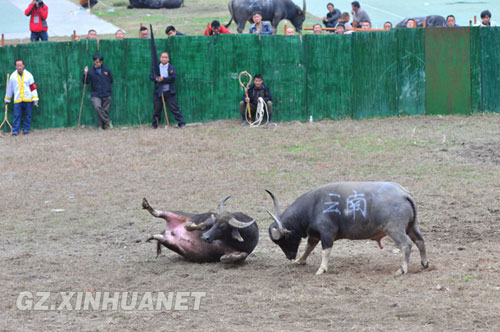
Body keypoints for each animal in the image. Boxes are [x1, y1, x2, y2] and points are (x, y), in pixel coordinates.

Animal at [266, 182, 430, 274]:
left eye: (284, 240)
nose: (290, 256)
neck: (313, 205)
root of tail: (404, 194)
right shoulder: (314, 234)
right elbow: (309, 247)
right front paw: (300, 260)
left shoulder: (326, 233)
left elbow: (325, 250)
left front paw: (322, 269)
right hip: (412, 227)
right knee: (420, 240)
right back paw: (424, 263)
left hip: (395, 229)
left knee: (406, 245)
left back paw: (402, 269)